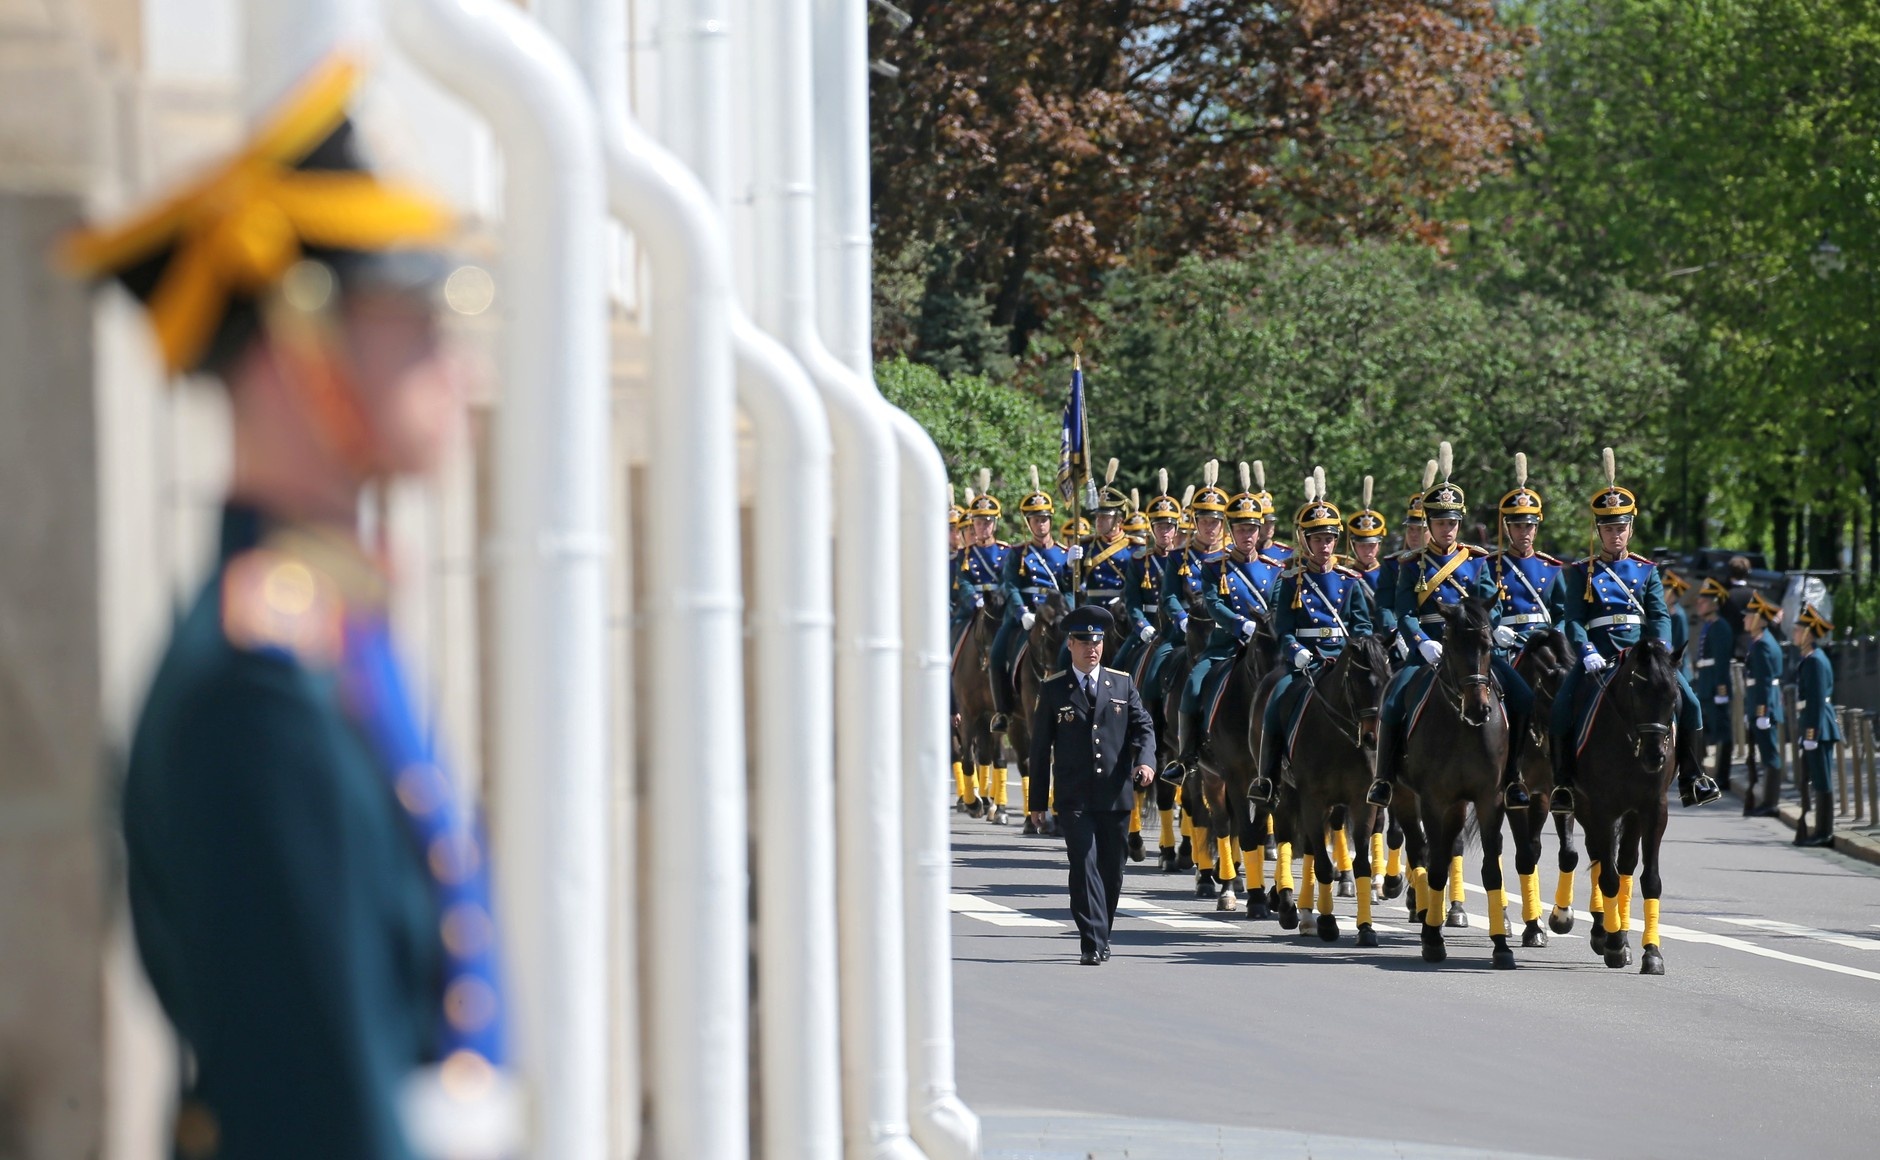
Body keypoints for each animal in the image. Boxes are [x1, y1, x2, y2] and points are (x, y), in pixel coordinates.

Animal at [1270, 631, 1391, 940]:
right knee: (1285, 837)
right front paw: (1327, 922)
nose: (1374, 738)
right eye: (1358, 682)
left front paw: (1365, 927)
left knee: (1309, 846)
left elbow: (1361, 864)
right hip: (1285, 794)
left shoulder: (1361, 801)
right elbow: (1324, 866)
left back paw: (1304, 912)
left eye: (1388, 680)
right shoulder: (1312, 799)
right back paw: (1286, 904)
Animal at [1398, 597, 1526, 970]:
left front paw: (1501, 945)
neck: (1462, 728)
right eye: (1450, 644)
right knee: (1420, 849)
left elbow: (1491, 870)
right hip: (1404, 797)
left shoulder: (1489, 799)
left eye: (1488, 646)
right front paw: (1432, 939)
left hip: (1458, 806)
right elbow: (1436, 866)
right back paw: (1424, 911)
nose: (1479, 708)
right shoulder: (1433, 800)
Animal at [1564, 639, 1684, 970]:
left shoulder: (1654, 809)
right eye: (1637, 692)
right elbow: (1609, 877)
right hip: (1584, 806)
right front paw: (1615, 944)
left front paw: (1651, 952)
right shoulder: (1602, 808)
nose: (1656, 756)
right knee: (1599, 858)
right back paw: (1604, 932)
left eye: (1674, 696)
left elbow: (1650, 880)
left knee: (1625, 862)